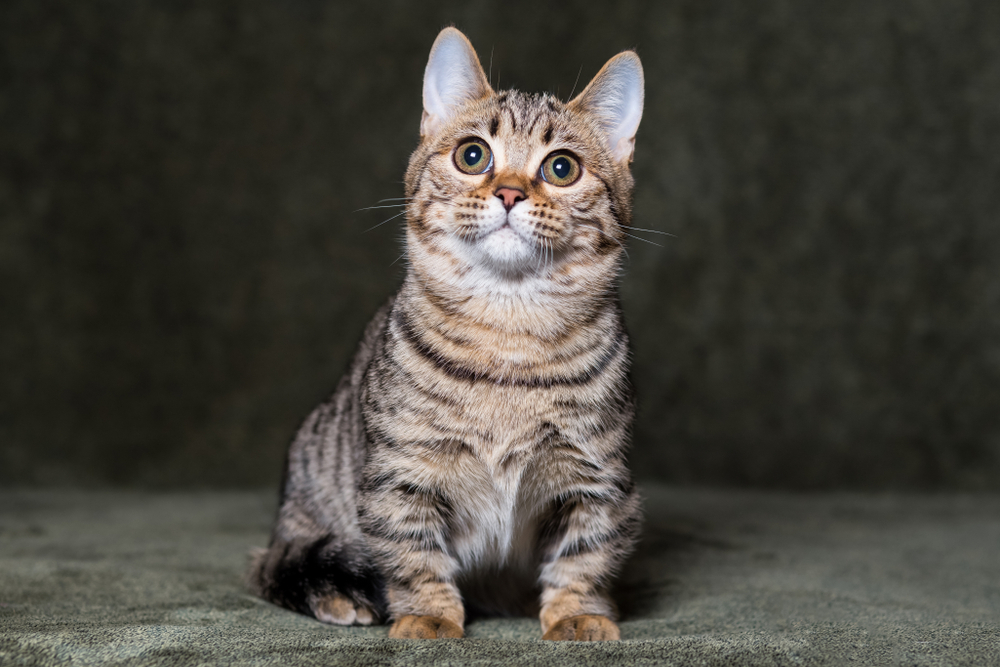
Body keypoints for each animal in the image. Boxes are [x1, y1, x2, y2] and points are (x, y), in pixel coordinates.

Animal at [246, 26, 644, 640]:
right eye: (472, 155)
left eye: (562, 168)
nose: (509, 192)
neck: (509, 330)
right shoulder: (402, 473)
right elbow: (413, 553)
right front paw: (429, 615)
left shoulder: (598, 477)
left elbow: (586, 553)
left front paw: (578, 612)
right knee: (278, 567)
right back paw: (337, 594)